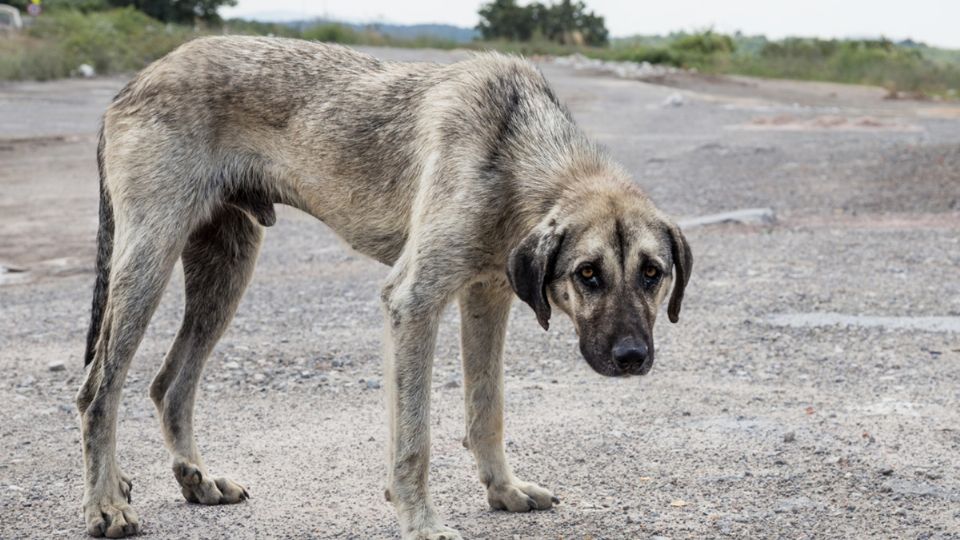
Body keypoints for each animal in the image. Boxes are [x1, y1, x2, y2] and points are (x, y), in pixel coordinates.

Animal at [75, 35, 688, 536]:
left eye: (652, 273)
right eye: (587, 273)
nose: (632, 358)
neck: (516, 150)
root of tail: (132, 83)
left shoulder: (486, 298)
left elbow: (486, 408)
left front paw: (504, 490)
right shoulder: (413, 303)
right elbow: (414, 436)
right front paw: (421, 523)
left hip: (225, 270)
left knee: (169, 384)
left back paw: (196, 479)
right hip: (148, 263)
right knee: (98, 390)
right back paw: (106, 504)